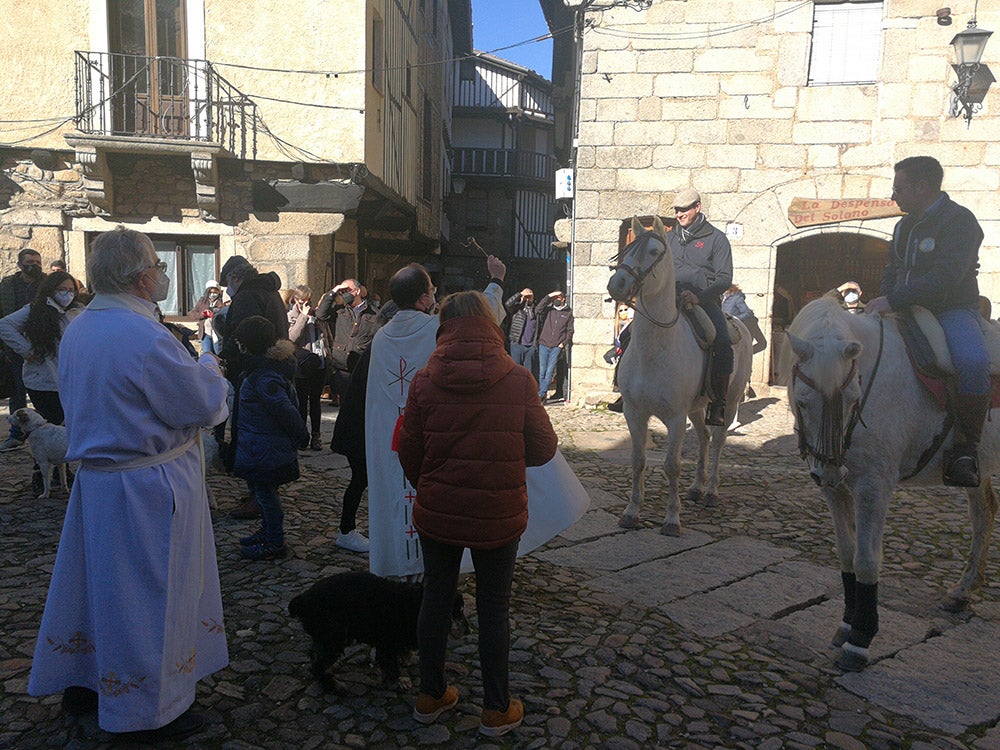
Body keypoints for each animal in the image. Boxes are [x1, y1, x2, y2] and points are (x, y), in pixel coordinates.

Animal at [286, 572, 464, 692]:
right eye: (458, 611)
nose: (467, 630)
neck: (414, 603)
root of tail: (302, 600)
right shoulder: (387, 643)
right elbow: (390, 664)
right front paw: (398, 681)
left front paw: (408, 659)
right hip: (334, 636)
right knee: (317, 666)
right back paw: (334, 685)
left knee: (314, 653)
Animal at [604, 217, 752, 536]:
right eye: (628, 251)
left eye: (654, 252)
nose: (617, 284)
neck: (654, 350)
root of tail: (738, 324)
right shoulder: (634, 412)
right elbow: (638, 460)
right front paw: (631, 512)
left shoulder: (675, 417)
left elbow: (672, 465)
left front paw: (672, 519)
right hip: (696, 409)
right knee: (705, 437)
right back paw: (696, 487)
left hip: (729, 402)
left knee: (718, 441)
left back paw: (711, 491)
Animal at [784, 296, 996, 672]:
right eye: (804, 401)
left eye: (853, 396)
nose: (831, 471)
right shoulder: (836, 488)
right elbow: (847, 552)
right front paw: (847, 624)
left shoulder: (873, 486)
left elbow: (867, 559)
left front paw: (860, 639)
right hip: (977, 469)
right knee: (983, 516)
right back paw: (962, 592)